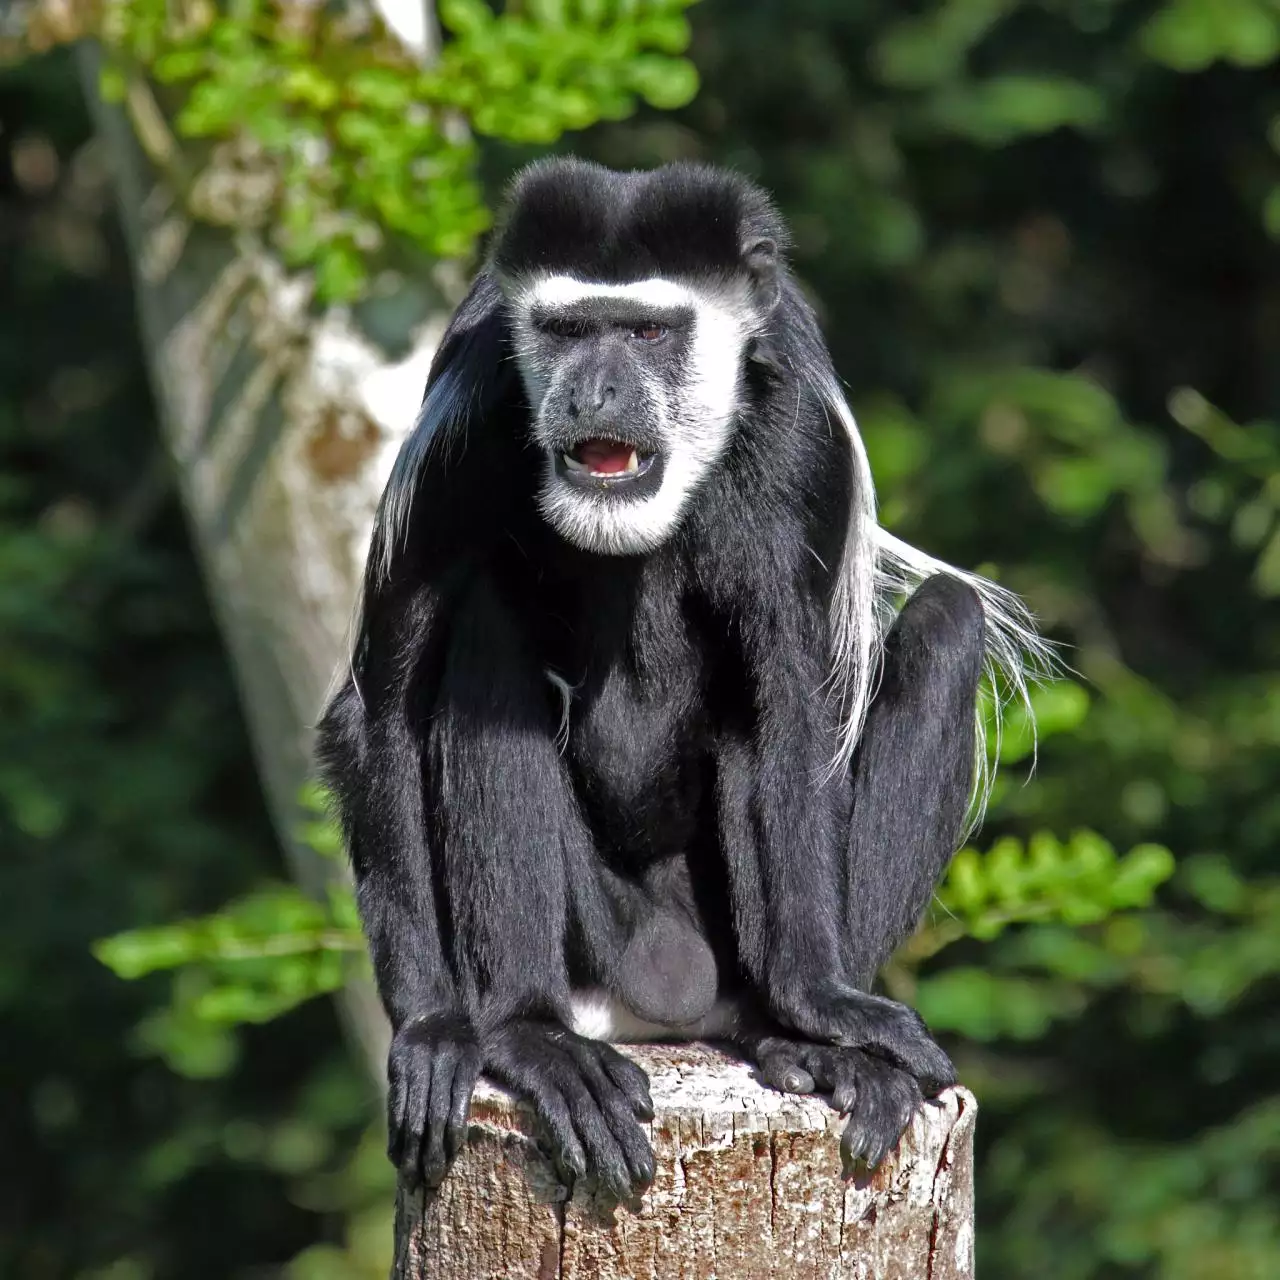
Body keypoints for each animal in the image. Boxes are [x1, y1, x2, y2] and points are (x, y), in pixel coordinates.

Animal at [317, 160, 1049, 1198]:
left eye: (649, 332)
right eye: (566, 331)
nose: (594, 394)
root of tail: (667, 1000)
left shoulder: (800, 446)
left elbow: (786, 714)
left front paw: (826, 1009)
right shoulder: (463, 434)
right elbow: (379, 709)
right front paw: (431, 1031)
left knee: (947, 623)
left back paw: (793, 1039)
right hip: (601, 938)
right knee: (482, 623)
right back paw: (535, 1037)